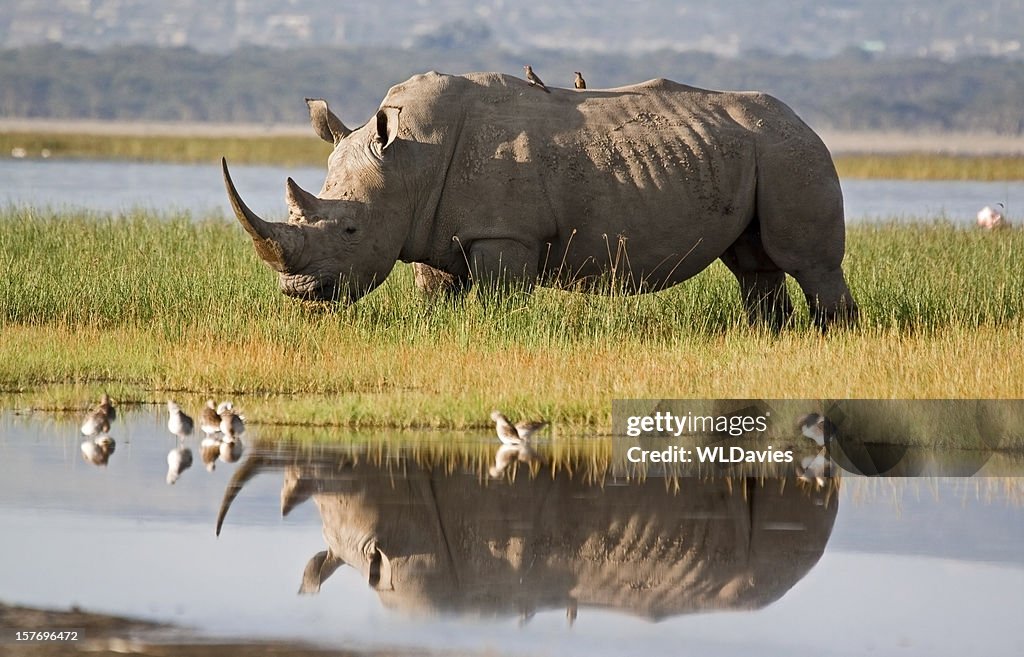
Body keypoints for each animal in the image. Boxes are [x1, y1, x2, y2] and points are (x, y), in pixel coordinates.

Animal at [222, 71, 856, 327]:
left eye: (351, 231)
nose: (299, 294)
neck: (408, 163)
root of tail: (804, 120)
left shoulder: (506, 234)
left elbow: (499, 299)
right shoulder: (429, 228)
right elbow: (436, 293)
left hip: (792, 151)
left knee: (809, 263)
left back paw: (831, 336)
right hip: (758, 151)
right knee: (754, 265)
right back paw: (769, 337)